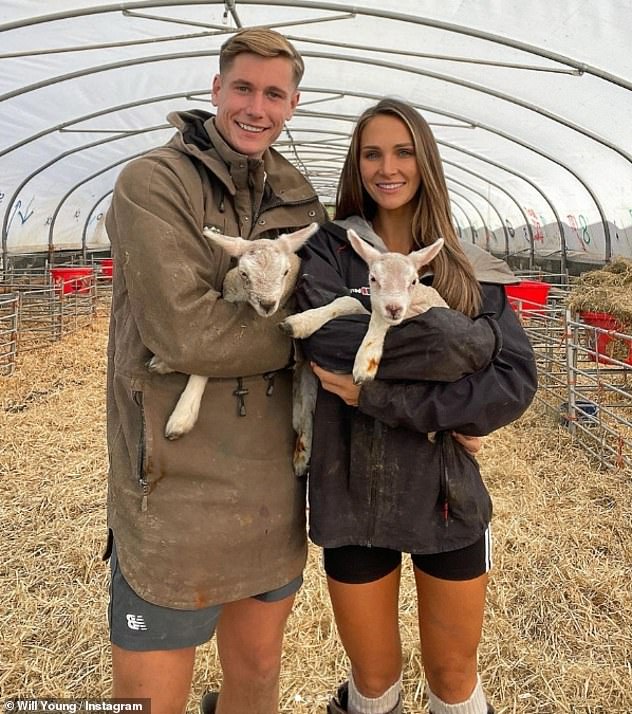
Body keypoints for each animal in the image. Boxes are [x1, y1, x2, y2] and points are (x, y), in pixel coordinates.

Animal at [146, 220, 318, 468]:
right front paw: (161, 364)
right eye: (244, 273)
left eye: (285, 272)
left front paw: (181, 417)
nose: (268, 304)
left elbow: (210, 358)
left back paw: (302, 455)